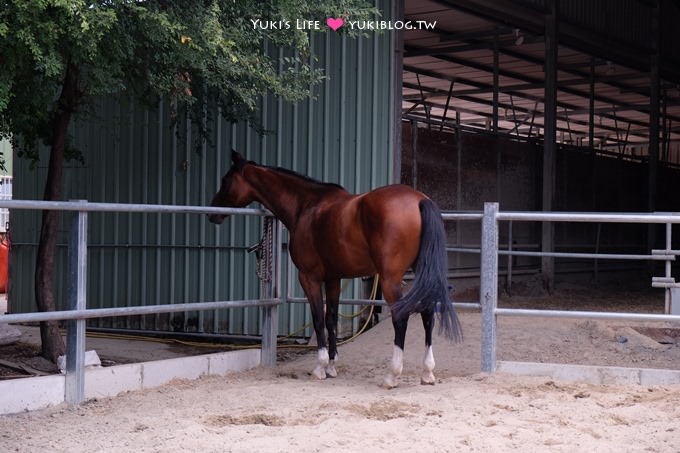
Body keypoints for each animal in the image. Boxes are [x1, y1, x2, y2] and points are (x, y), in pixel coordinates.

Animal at [209, 150, 462, 386]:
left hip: (390, 278)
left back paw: (392, 375)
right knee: (427, 312)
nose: (213, 213)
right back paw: (427, 373)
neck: (306, 206)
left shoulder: (309, 277)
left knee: (401, 317)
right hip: (421, 273)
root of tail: (419, 200)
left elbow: (318, 318)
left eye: (225, 180)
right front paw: (331, 366)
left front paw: (319, 368)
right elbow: (331, 319)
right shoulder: (333, 279)